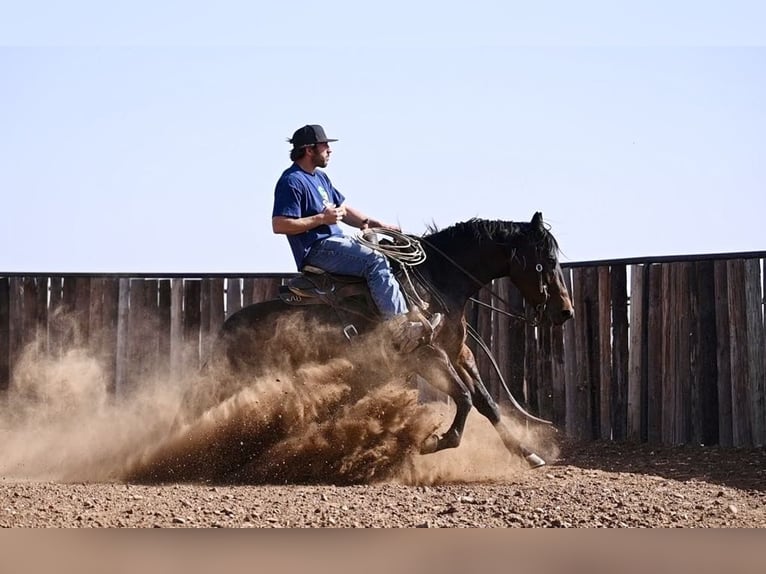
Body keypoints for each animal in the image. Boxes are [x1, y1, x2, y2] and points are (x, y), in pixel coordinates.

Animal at [192, 213, 576, 472]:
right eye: (547, 261)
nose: (565, 312)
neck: (436, 283)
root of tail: (229, 325)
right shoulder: (426, 355)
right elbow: (465, 398)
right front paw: (435, 441)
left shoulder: (458, 352)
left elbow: (486, 402)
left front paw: (527, 452)